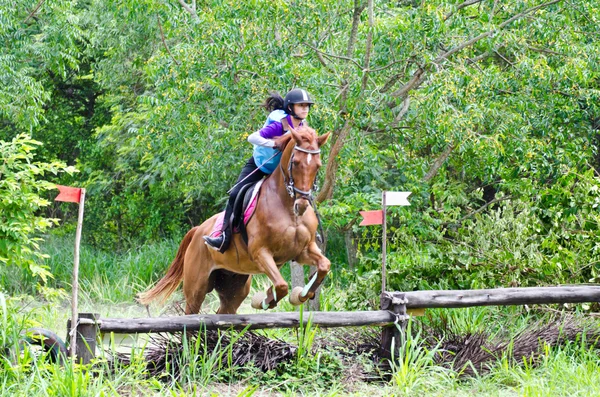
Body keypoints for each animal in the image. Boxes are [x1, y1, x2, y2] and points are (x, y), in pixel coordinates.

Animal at [138, 125, 330, 314]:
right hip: (195, 288)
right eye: (295, 162)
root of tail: (197, 230)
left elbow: (324, 266)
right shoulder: (260, 252)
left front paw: (302, 294)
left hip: (234, 285)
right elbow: (281, 286)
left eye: (318, 165)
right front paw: (264, 300)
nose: (302, 205)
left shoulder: (301, 250)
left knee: (224, 312)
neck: (288, 210)